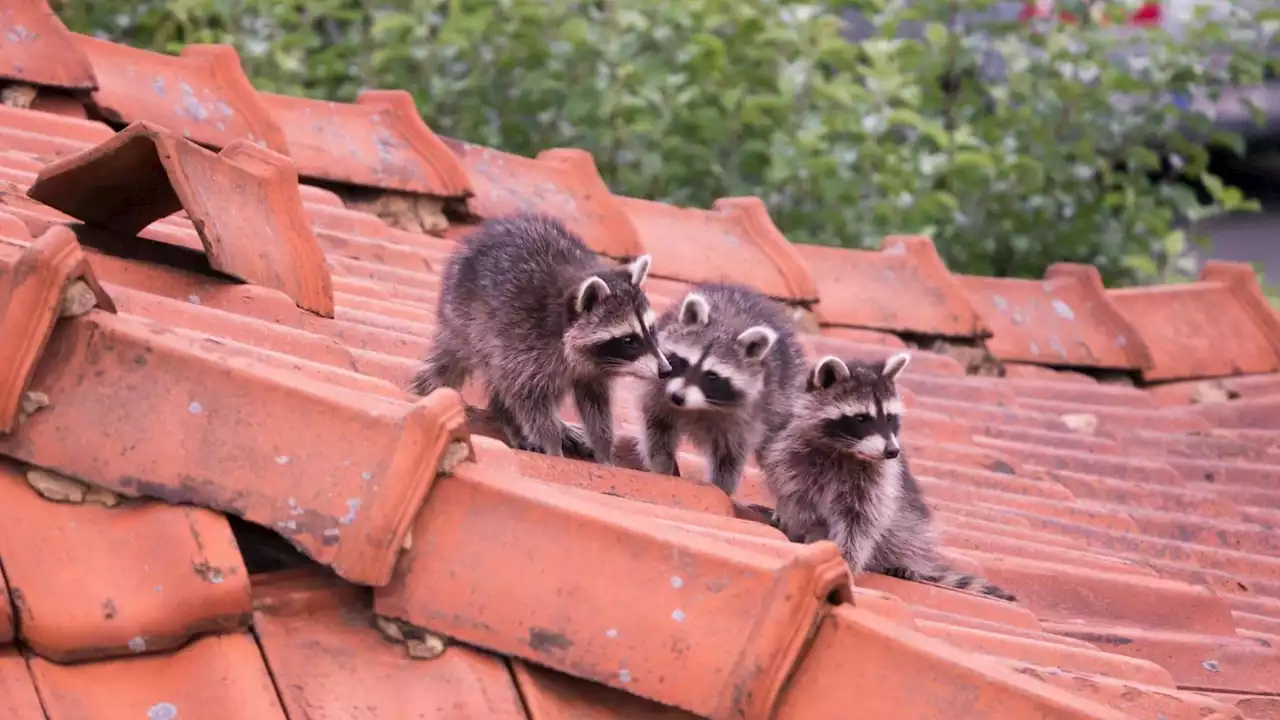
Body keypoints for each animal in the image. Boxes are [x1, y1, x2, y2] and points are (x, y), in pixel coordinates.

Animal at [409, 210, 670, 461]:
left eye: (651, 330)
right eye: (629, 340)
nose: (665, 370)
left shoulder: (591, 371)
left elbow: (597, 405)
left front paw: (604, 451)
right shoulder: (524, 341)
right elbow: (529, 398)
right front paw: (552, 445)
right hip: (466, 320)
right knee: (462, 364)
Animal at [645, 280, 803, 491]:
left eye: (712, 376)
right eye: (683, 362)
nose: (677, 397)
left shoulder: (748, 415)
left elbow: (730, 456)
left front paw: (722, 488)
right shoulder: (658, 388)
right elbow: (658, 427)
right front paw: (661, 466)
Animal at [757, 351, 1018, 599]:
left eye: (890, 417)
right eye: (861, 418)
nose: (892, 451)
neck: (847, 451)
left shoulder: (877, 480)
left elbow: (862, 521)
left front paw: (847, 560)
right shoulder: (793, 458)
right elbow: (799, 501)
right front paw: (808, 534)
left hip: (910, 523)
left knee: (905, 530)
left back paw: (905, 563)